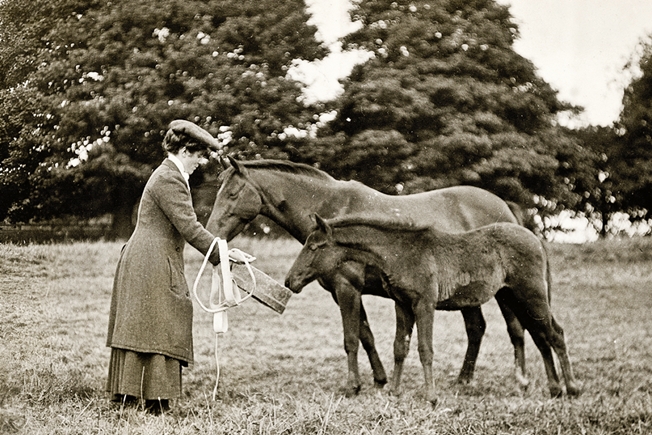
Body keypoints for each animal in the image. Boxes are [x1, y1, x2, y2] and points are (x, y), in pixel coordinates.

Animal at [205, 157, 529, 396]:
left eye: (232, 193)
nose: (211, 234)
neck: (331, 210)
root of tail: (505, 208)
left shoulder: (347, 288)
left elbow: (350, 338)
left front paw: (353, 385)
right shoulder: (345, 292)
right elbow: (366, 335)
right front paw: (380, 379)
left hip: (506, 292)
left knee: (514, 328)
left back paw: (520, 380)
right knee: (476, 328)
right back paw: (464, 380)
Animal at [285, 214, 581, 403]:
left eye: (314, 247)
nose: (290, 281)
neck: (401, 252)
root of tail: (536, 239)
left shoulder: (424, 304)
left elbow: (425, 349)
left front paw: (431, 397)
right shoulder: (402, 305)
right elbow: (400, 347)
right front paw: (394, 393)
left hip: (531, 295)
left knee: (555, 334)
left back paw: (572, 388)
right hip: (512, 297)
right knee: (540, 336)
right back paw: (555, 389)